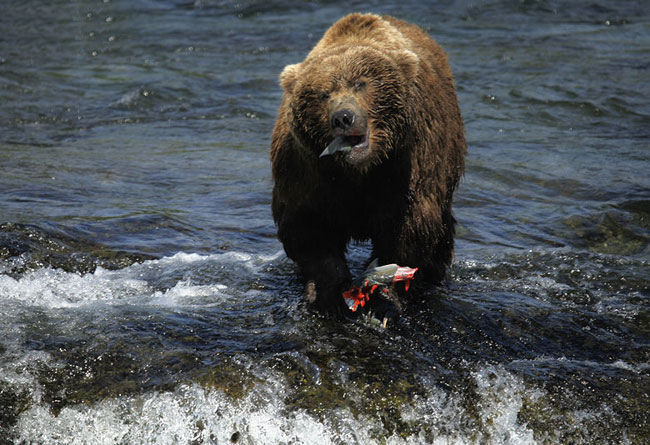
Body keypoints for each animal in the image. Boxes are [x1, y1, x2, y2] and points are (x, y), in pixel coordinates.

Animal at [270, 13, 466, 316]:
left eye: (360, 83)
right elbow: (306, 227)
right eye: (323, 94)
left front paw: (387, 293)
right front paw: (327, 293)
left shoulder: (408, 165)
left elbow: (409, 226)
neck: (361, 170)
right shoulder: (307, 171)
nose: (343, 117)